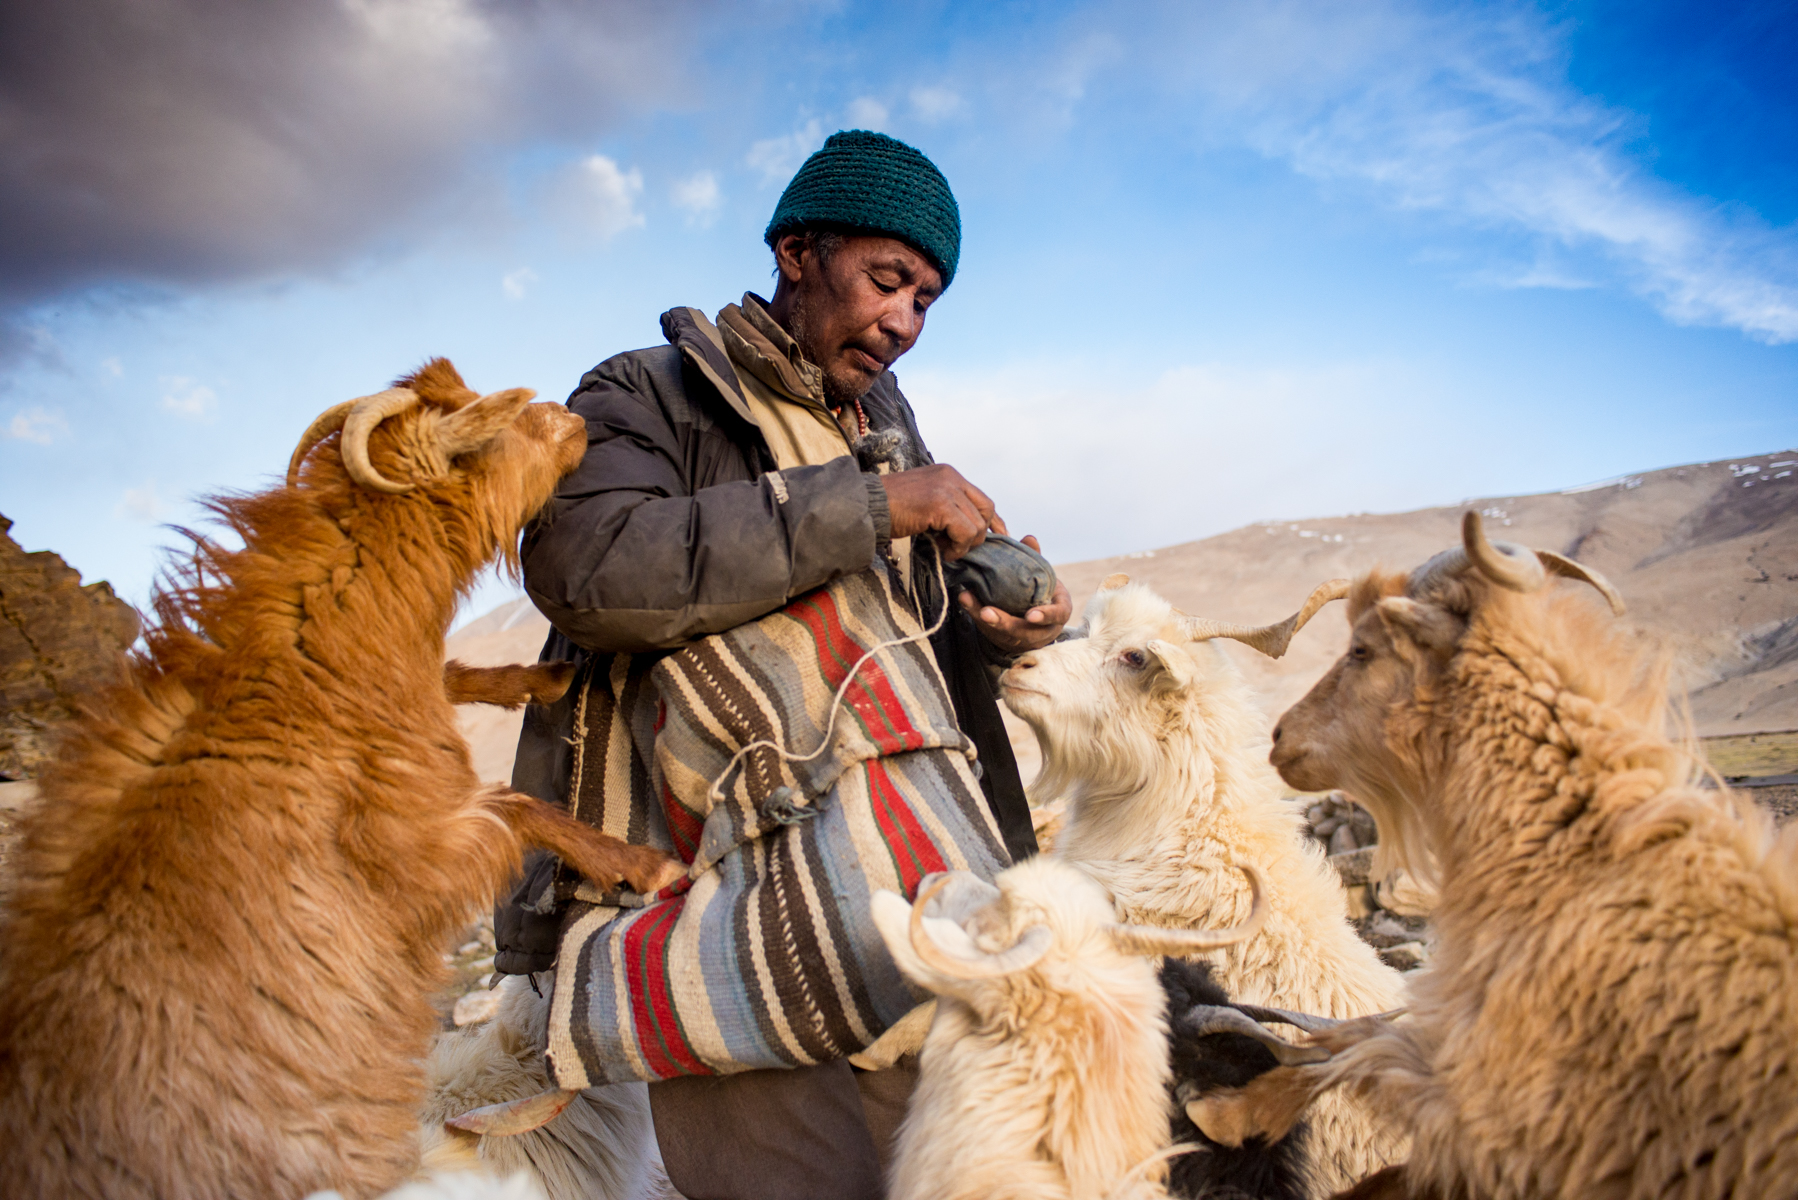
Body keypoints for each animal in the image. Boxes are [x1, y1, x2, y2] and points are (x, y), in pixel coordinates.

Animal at [0, 361, 686, 1200]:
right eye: (491, 425)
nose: (574, 418)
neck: (306, 674)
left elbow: (455, 681)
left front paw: (544, 677)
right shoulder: (413, 850)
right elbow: (519, 805)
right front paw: (643, 865)